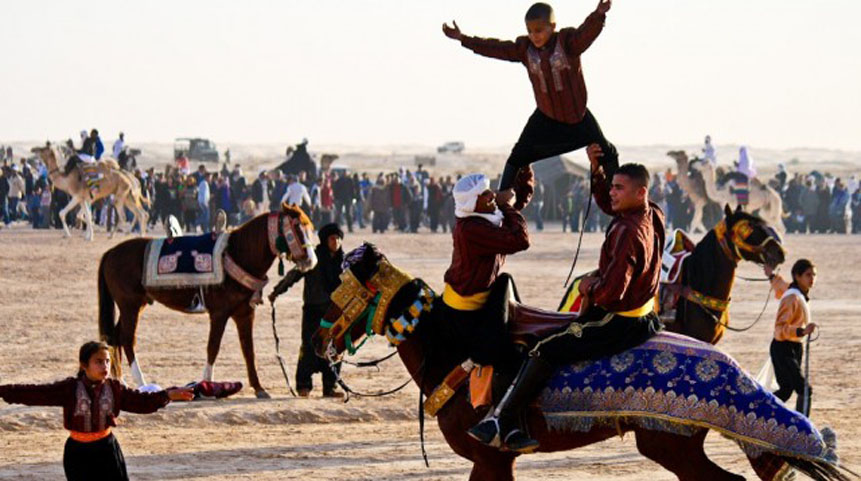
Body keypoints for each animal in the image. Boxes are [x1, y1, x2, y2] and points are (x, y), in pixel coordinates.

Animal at [99, 204, 318, 396]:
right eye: (297, 226)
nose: (311, 260)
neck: (237, 254)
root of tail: (110, 253)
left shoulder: (245, 313)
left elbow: (248, 349)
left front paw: (259, 388)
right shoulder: (219, 314)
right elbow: (213, 347)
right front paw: (206, 384)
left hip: (135, 305)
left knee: (115, 337)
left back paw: (120, 381)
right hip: (130, 305)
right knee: (127, 339)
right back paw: (141, 382)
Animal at [310, 244, 848, 480]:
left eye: (342, 291)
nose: (318, 339)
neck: (456, 347)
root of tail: (726, 364)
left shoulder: (489, 457)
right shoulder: (495, 462)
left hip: (669, 443)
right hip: (669, 444)